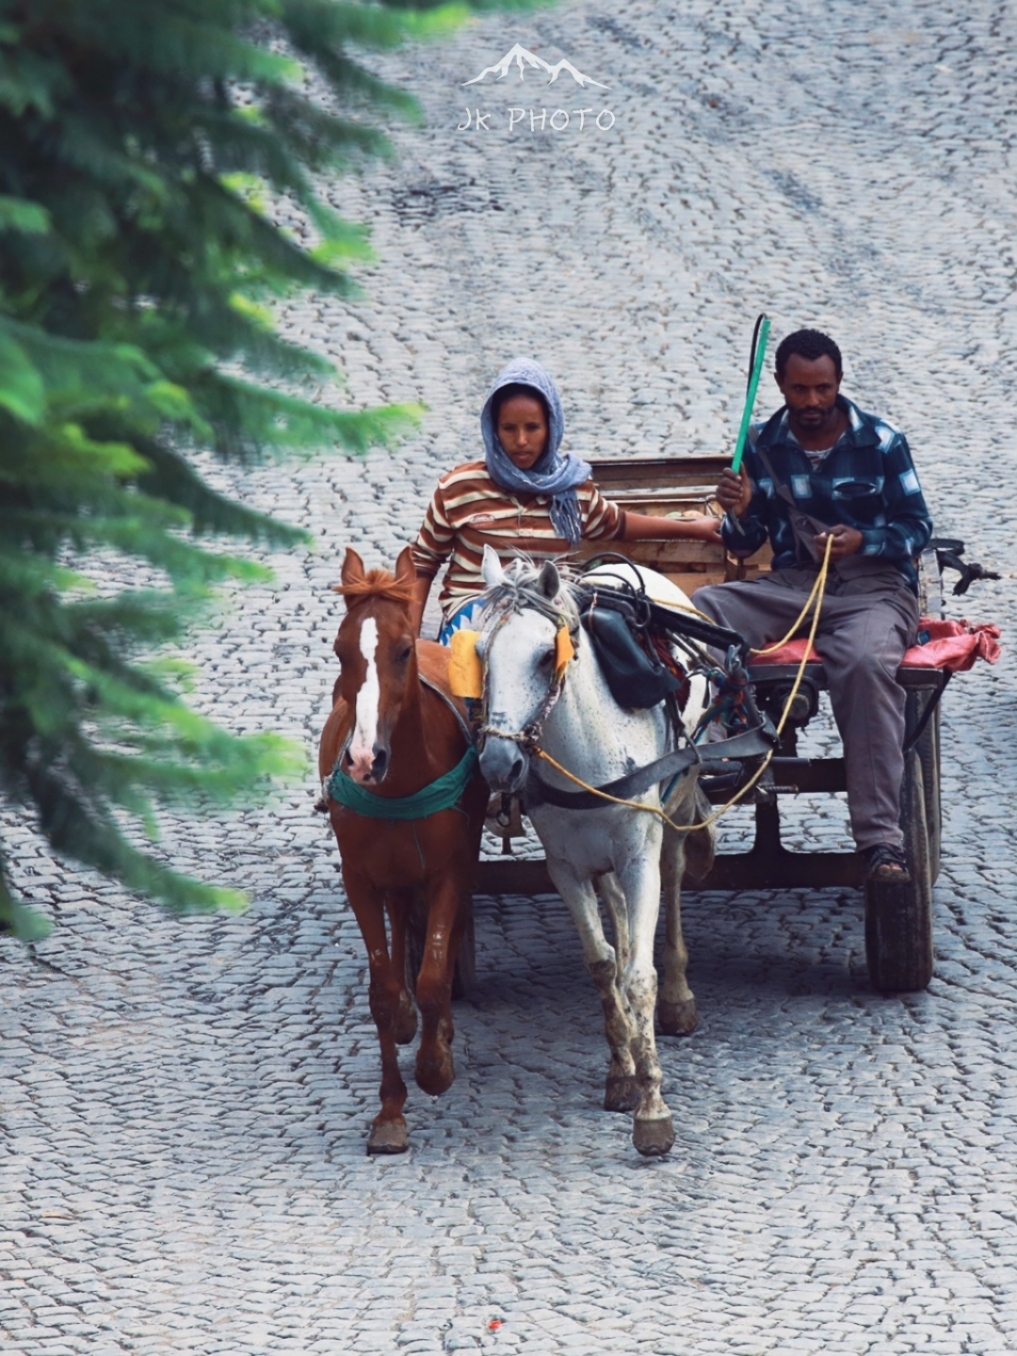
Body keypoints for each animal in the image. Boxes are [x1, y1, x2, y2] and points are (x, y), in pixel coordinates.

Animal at [322, 545, 490, 1149]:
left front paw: (434, 1065)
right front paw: (390, 1111)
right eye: (340, 649)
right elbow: (381, 990)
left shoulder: (450, 869)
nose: (364, 759)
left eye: (400, 650)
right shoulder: (359, 877)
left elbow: (435, 977)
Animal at [477, 545, 715, 1160]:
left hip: (677, 805)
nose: (498, 765)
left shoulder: (637, 853)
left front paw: (653, 1112)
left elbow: (638, 976)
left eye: (545, 656)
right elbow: (604, 964)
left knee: (674, 875)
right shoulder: (564, 866)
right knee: (621, 918)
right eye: (481, 653)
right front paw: (622, 1072)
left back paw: (680, 995)